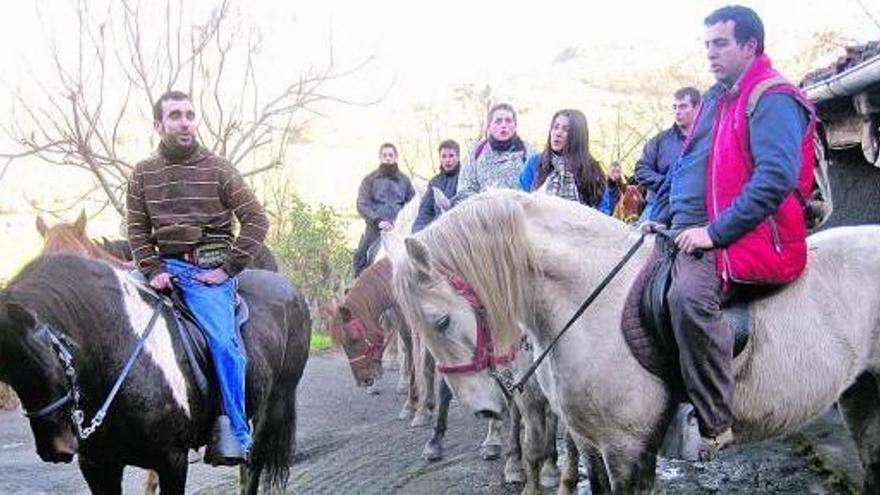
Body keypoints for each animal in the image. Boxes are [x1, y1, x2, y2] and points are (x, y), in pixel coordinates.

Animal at [0, 256, 312, 495]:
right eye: (8, 376)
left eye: (45, 362)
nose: (55, 448)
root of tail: (290, 290)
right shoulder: (98, 465)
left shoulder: (172, 459)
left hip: (274, 405)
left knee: (252, 467)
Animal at [386, 189, 880, 492]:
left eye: (441, 321)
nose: (485, 409)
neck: (589, 297)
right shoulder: (590, 442)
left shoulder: (627, 448)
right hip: (862, 396)